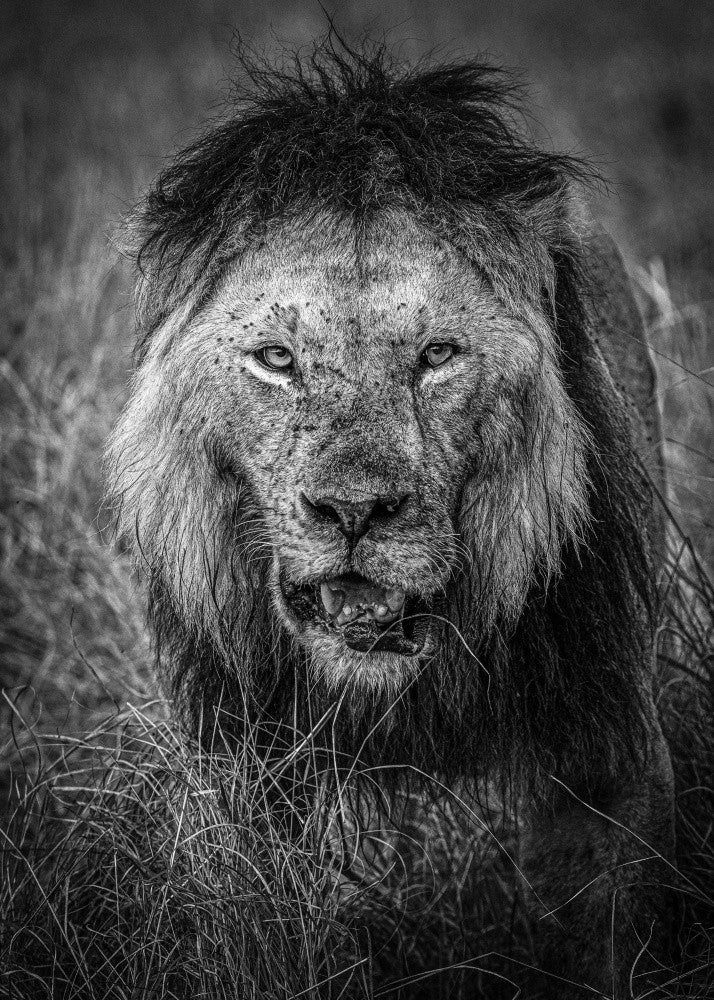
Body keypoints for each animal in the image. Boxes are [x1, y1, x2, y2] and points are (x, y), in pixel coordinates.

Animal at [107, 44, 675, 996]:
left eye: (437, 355)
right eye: (276, 359)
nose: (354, 511)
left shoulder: (602, 744)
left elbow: (600, 921)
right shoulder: (250, 768)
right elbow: (265, 915)